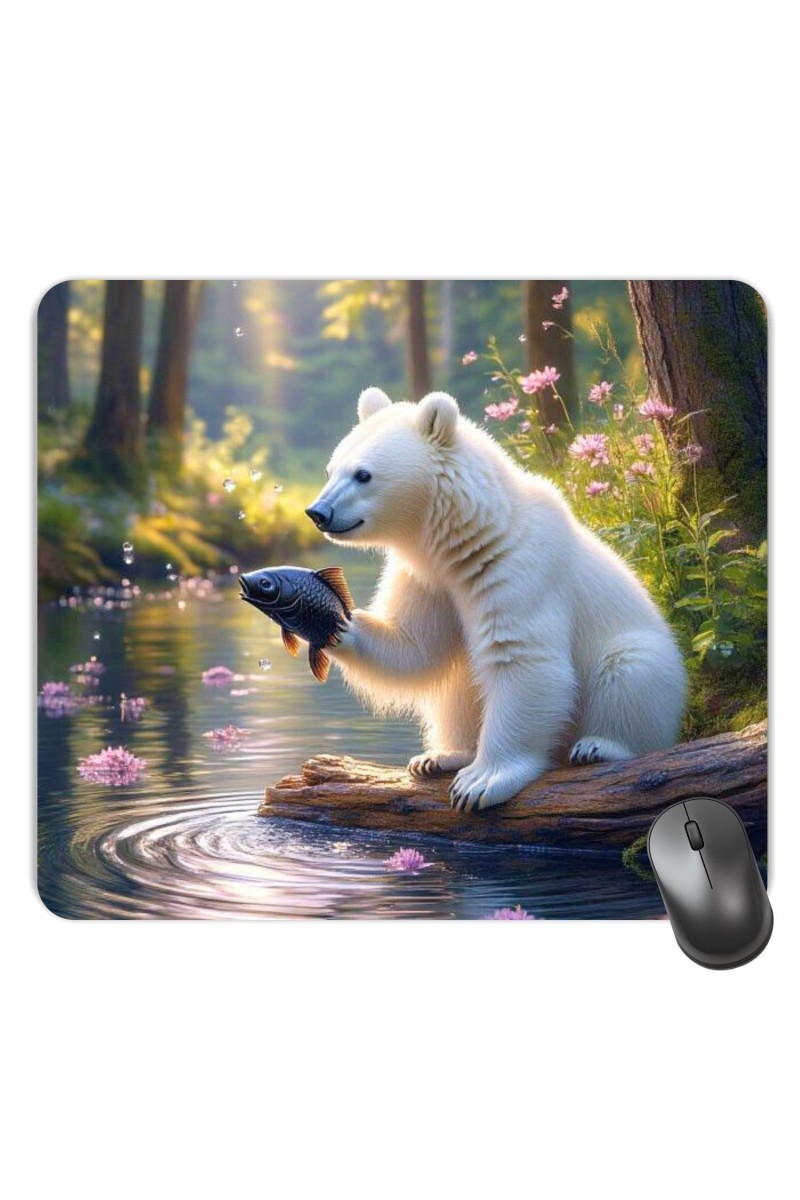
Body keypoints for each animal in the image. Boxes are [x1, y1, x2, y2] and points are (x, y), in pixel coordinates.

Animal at [304, 386, 687, 812]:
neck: (474, 533)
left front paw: (480, 782)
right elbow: (414, 644)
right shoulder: (429, 579)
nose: (317, 512)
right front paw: (329, 618)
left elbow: (522, 659)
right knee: (458, 682)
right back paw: (441, 755)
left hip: (641, 655)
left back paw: (600, 746)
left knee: (632, 668)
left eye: (364, 474)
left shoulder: (520, 568)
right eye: (331, 469)